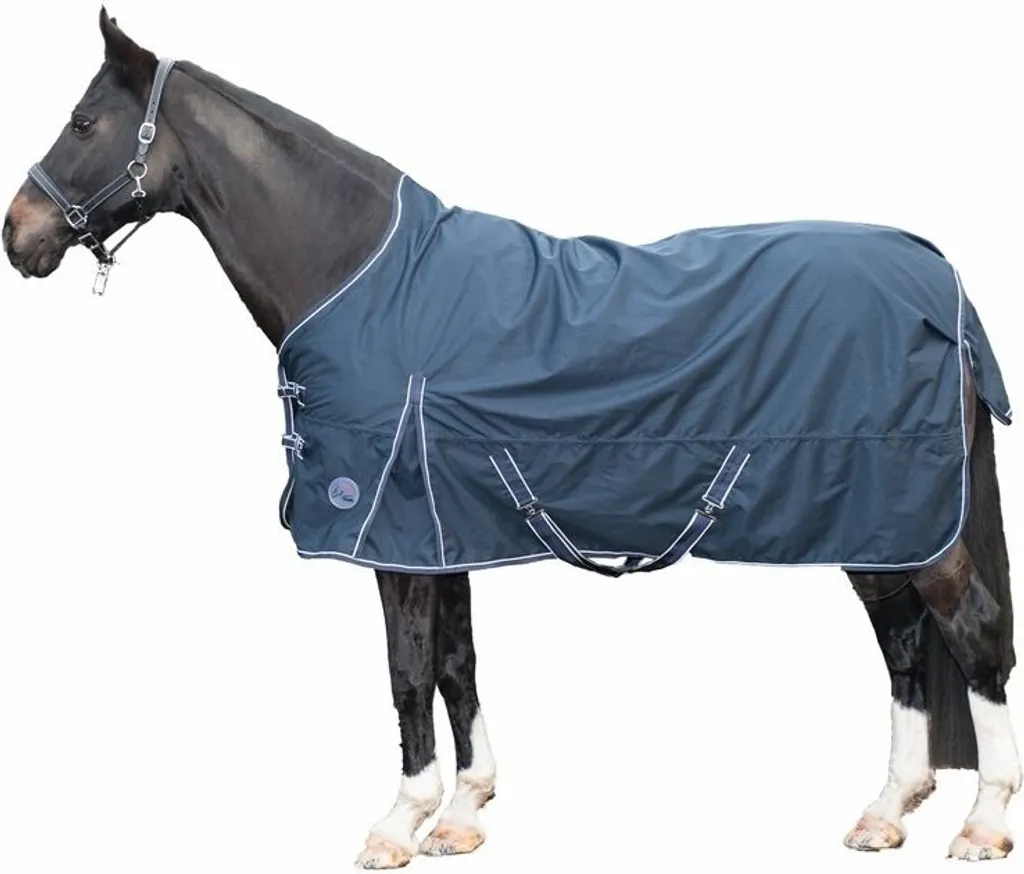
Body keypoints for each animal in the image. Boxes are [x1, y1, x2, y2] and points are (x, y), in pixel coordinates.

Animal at [3, 9, 1020, 867]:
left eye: (84, 124)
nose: (19, 235)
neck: (366, 281)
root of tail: (942, 281)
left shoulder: (392, 535)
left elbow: (407, 671)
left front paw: (398, 822)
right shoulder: (444, 529)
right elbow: (456, 664)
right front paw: (463, 812)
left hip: (905, 521)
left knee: (973, 633)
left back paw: (981, 824)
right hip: (874, 521)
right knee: (901, 642)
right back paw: (887, 810)